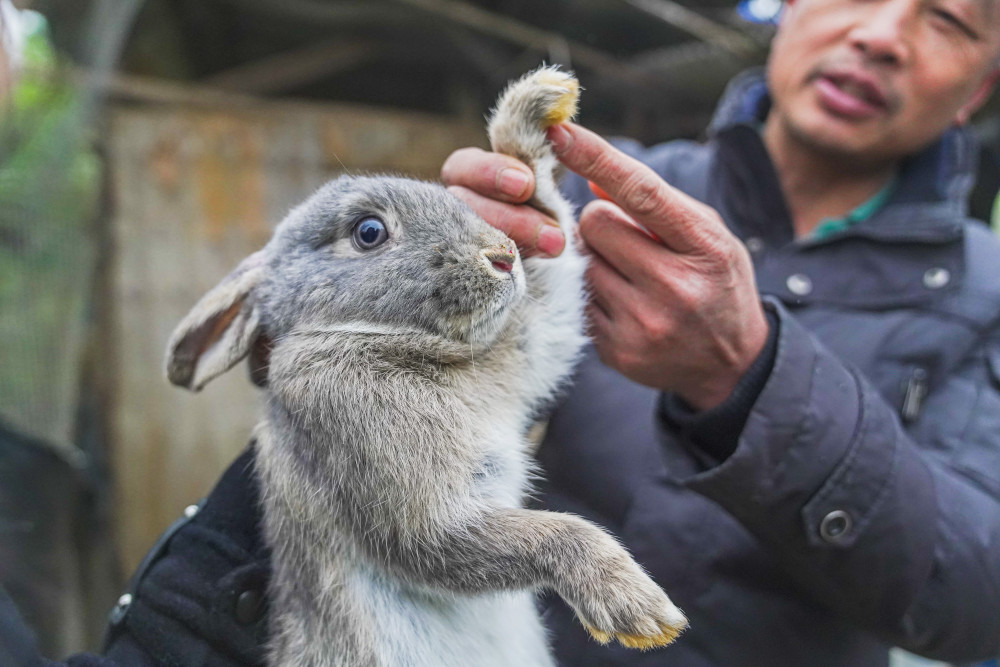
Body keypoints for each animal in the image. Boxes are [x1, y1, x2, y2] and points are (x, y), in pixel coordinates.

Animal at [166, 68, 688, 667]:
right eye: (369, 232)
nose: (504, 256)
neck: (392, 341)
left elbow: (555, 280)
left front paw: (539, 108)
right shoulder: (396, 482)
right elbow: (512, 536)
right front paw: (641, 611)